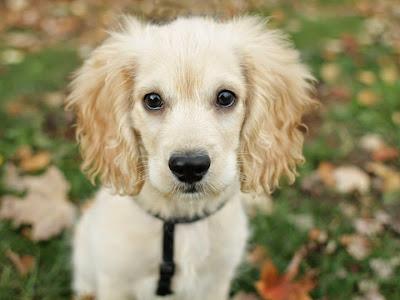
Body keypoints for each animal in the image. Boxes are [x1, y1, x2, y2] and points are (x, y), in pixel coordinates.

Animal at [68, 14, 316, 300]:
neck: (181, 222)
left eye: (225, 97)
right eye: (152, 100)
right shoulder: (115, 280)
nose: (189, 167)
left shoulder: (216, 281)